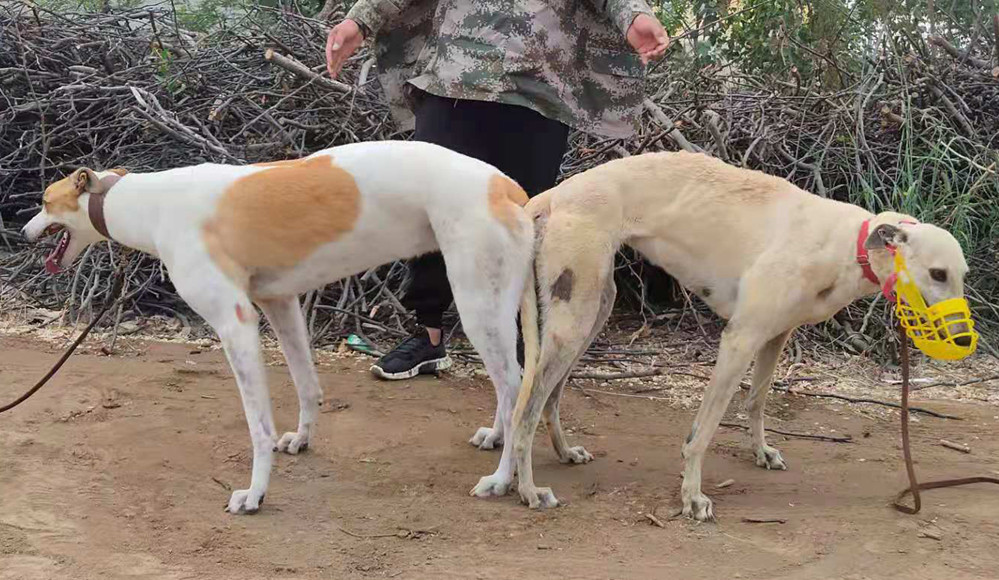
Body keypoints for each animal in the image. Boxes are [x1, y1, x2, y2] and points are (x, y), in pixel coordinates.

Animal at [472, 150, 972, 520]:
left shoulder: (775, 336)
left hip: (590, 314)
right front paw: (692, 497)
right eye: (937, 273)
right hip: (572, 318)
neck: (845, 244)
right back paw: (528, 489)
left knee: (549, 398)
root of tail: (552, 195)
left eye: (962, 275)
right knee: (526, 408)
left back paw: (561, 452)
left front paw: (762, 452)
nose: (966, 342)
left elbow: (756, 401)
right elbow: (706, 429)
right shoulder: (739, 339)